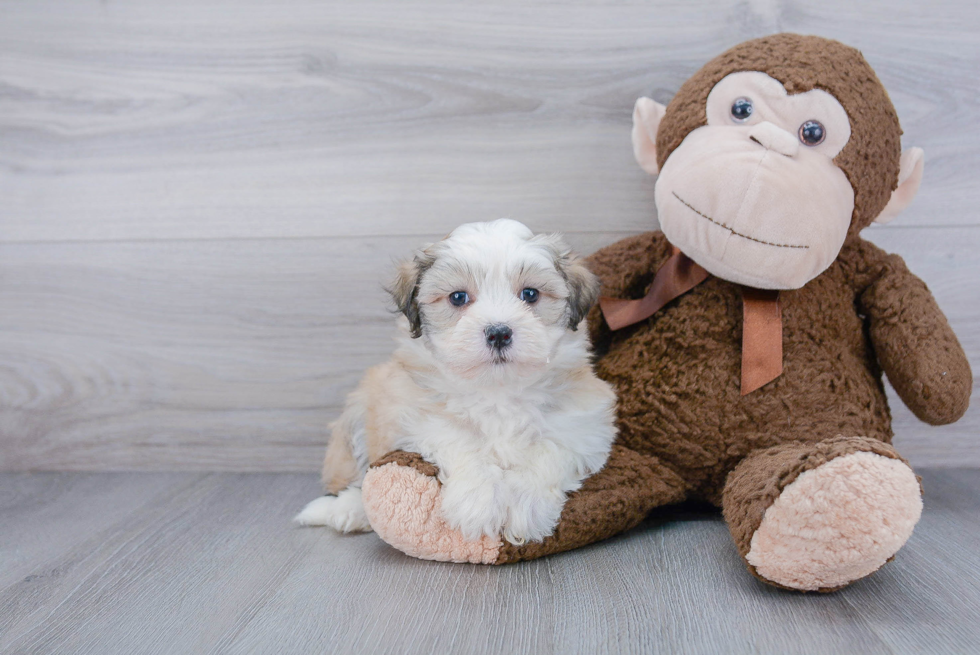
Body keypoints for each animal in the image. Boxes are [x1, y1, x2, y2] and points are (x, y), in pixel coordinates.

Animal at [290, 218, 616, 544]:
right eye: (458, 297)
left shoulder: (585, 423)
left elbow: (550, 447)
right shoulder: (414, 411)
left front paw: (527, 503)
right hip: (359, 416)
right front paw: (479, 503)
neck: (498, 390)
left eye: (531, 294)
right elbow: (460, 438)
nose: (499, 333)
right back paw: (347, 510)